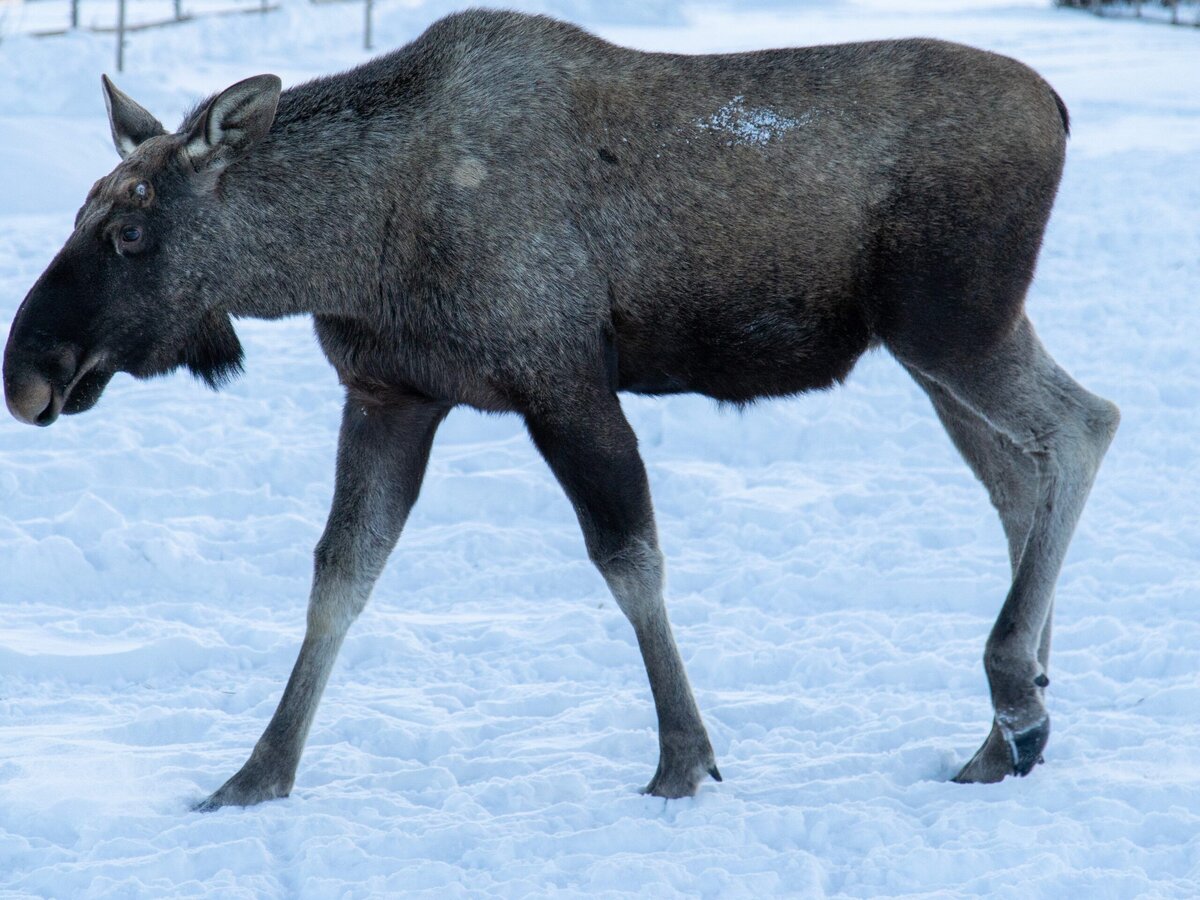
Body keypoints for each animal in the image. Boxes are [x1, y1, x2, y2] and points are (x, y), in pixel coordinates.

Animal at [4, 10, 1118, 811]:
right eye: (84, 213)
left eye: (134, 230)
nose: (28, 372)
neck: (348, 245)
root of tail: (1063, 108)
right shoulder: (392, 394)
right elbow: (340, 575)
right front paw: (255, 775)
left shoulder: (563, 380)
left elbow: (630, 560)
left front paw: (683, 759)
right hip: (933, 348)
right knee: (1018, 477)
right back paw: (1010, 726)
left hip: (950, 322)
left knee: (1083, 426)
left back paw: (1013, 691)